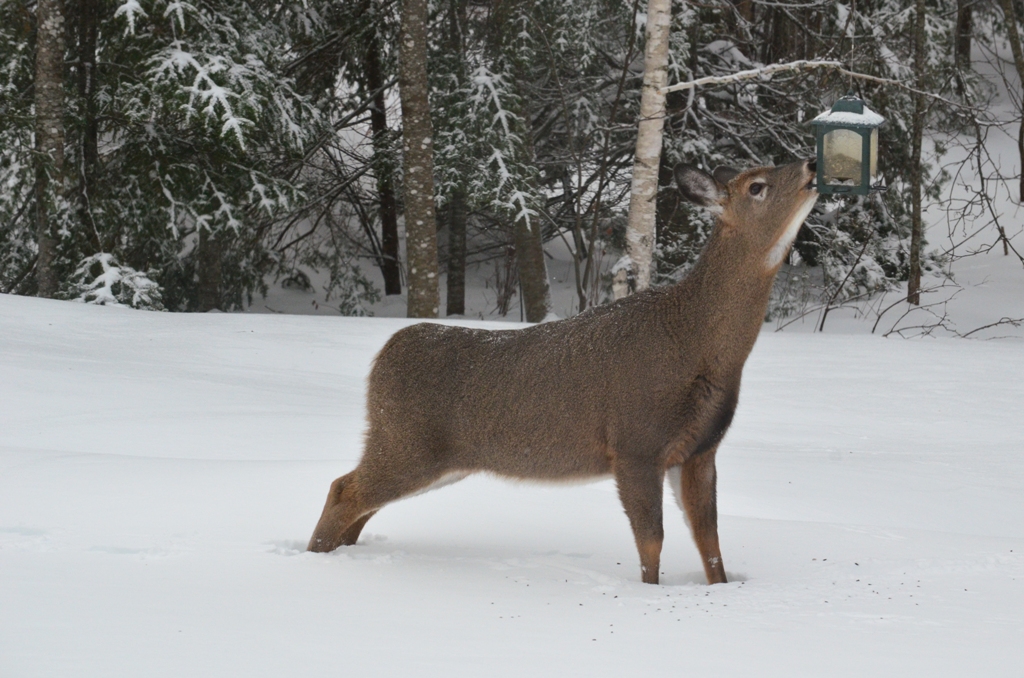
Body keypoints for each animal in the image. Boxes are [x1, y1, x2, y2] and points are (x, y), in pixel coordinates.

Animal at [308, 159, 819, 585]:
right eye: (757, 186)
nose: (812, 166)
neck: (697, 346)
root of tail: (382, 358)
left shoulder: (698, 450)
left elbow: (709, 541)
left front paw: (722, 592)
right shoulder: (634, 442)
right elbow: (651, 541)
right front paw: (650, 596)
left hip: (424, 453)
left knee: (357, 500)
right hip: (408, 443)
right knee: (343, 489)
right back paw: (314, 561)